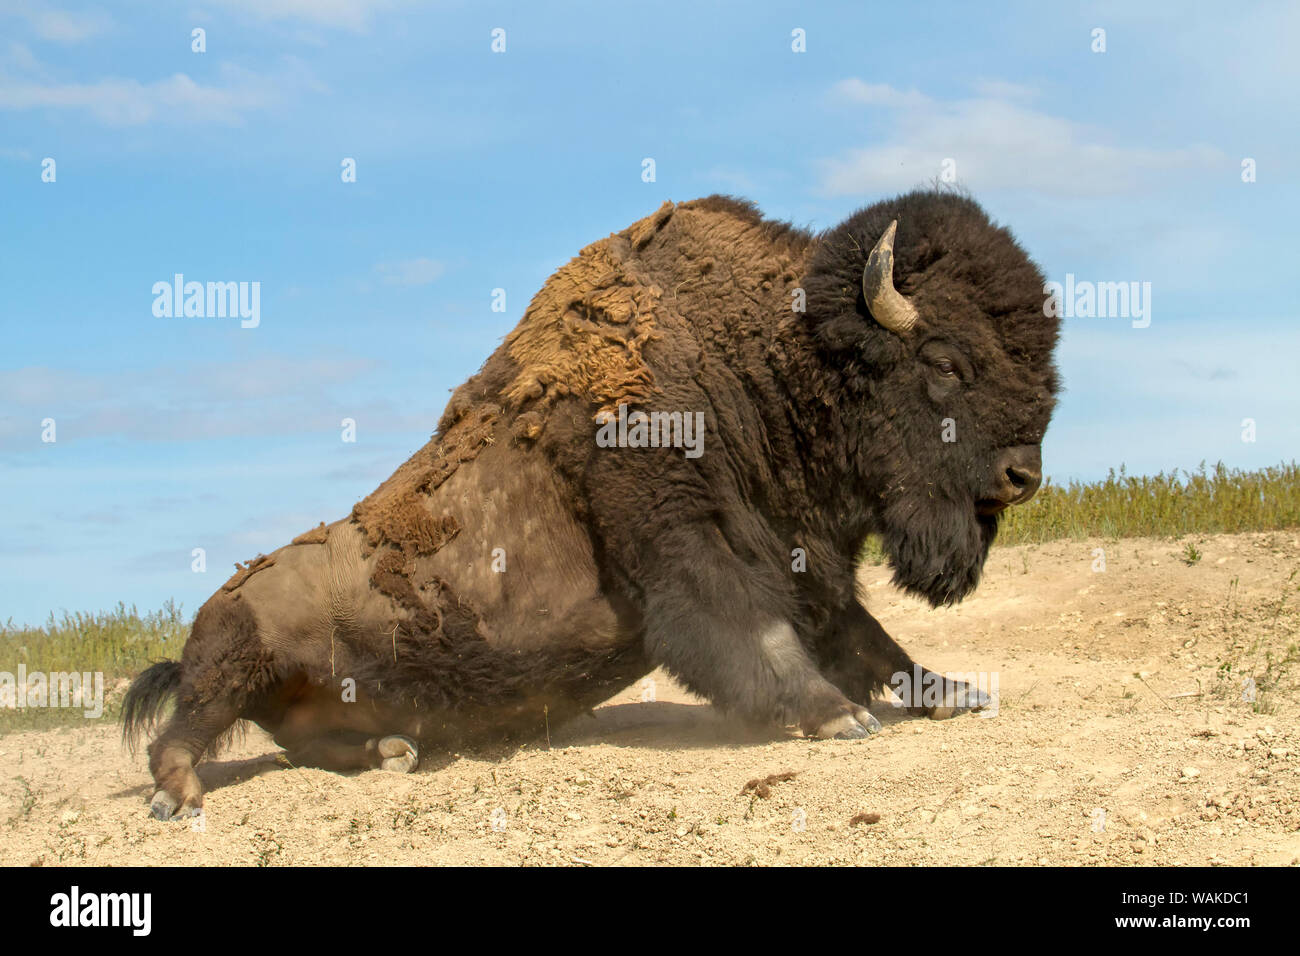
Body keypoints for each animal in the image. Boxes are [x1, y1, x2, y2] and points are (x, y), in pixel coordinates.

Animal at [124, 188, 1055, 822]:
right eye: (946, 360)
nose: (1023, 475)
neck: (765, 357)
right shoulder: (683, 536)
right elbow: (753, 629)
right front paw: (839, 719)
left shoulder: (805, 553)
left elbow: (867, 638)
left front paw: (951, 692)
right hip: (232, 657)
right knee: (182, 729)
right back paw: (179, 797)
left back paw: (393, 752)